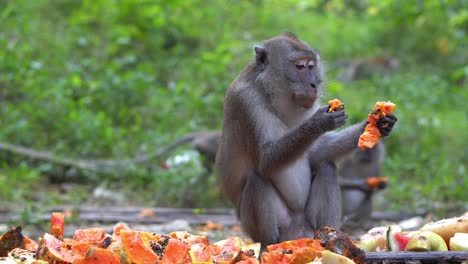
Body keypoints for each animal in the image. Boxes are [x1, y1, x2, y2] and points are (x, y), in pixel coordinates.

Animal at [214, 33, 396, 248]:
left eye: (311, 66)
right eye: (300, 66)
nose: (314, 84)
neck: (269, 93)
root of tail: (297, 232)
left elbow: (317, 153)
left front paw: (376, 123)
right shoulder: (246, 102)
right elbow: (265, 160)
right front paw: (319, 122)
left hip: (307, 223)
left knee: (326, 166)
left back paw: (329, 237)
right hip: (263, 226)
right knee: (257, 177)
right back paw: (269, 244)